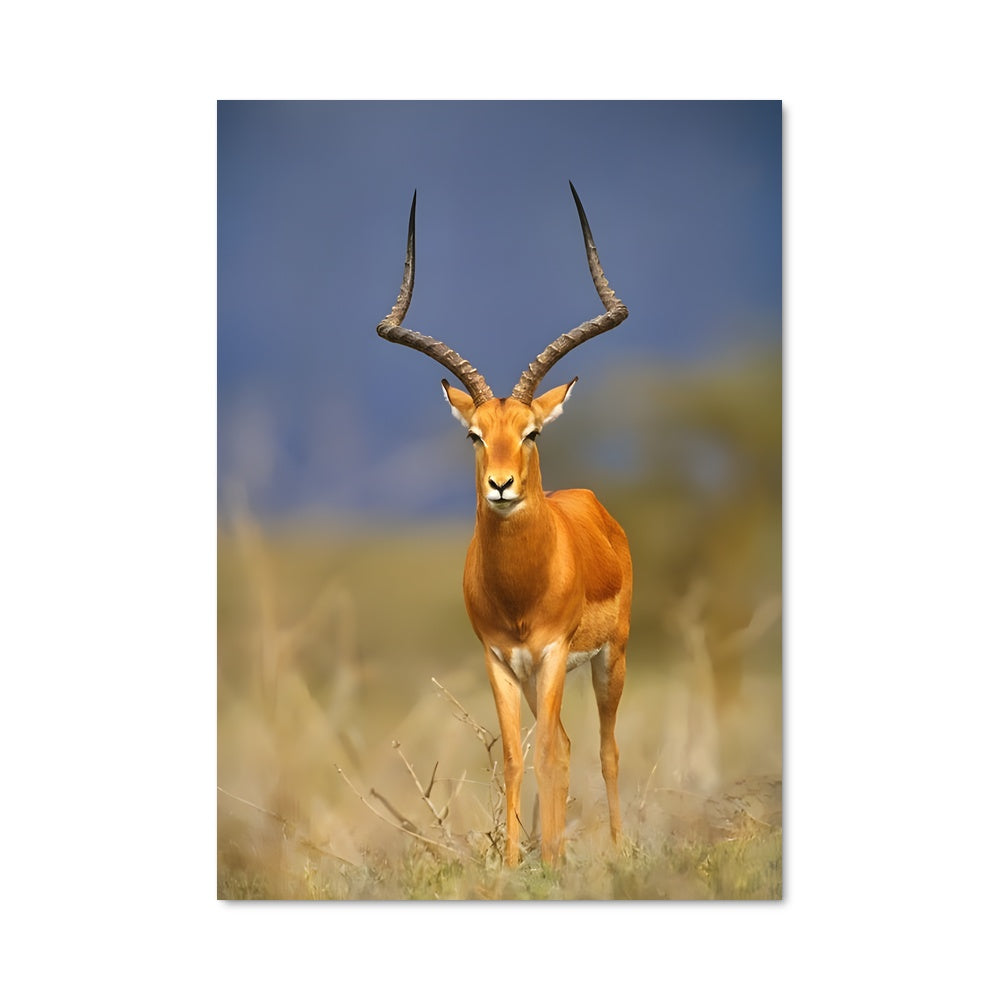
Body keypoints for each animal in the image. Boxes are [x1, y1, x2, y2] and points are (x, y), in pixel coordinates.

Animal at [376, 182, 632, 866]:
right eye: (474, 434)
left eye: (532, 432)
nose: (501, 485)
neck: (521, 588)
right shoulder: (498, 658)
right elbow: (519, 758)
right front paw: (518, 864)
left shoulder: (550, 652)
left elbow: (550, 757)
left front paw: (548, 862)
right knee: (563, 744)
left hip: (609, 658)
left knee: (604, 749)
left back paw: (615, 852)